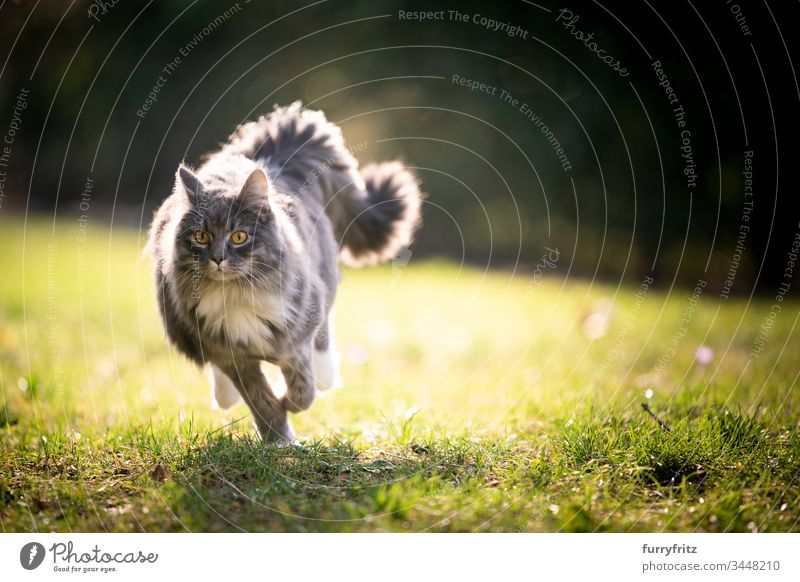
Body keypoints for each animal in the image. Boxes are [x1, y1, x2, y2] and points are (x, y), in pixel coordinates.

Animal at [151, 102, 424, 444]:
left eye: (239, 236)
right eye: (201, 236)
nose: (217, 259)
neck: (238, 293)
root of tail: (274, 153)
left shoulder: (296, 337)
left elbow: (302, 390)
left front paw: (288, 405)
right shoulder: (232, 355)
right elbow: (259, 400)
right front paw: (278, 438)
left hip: (322, 286)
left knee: (323, 341)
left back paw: (326, 376)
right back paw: (225, 397)